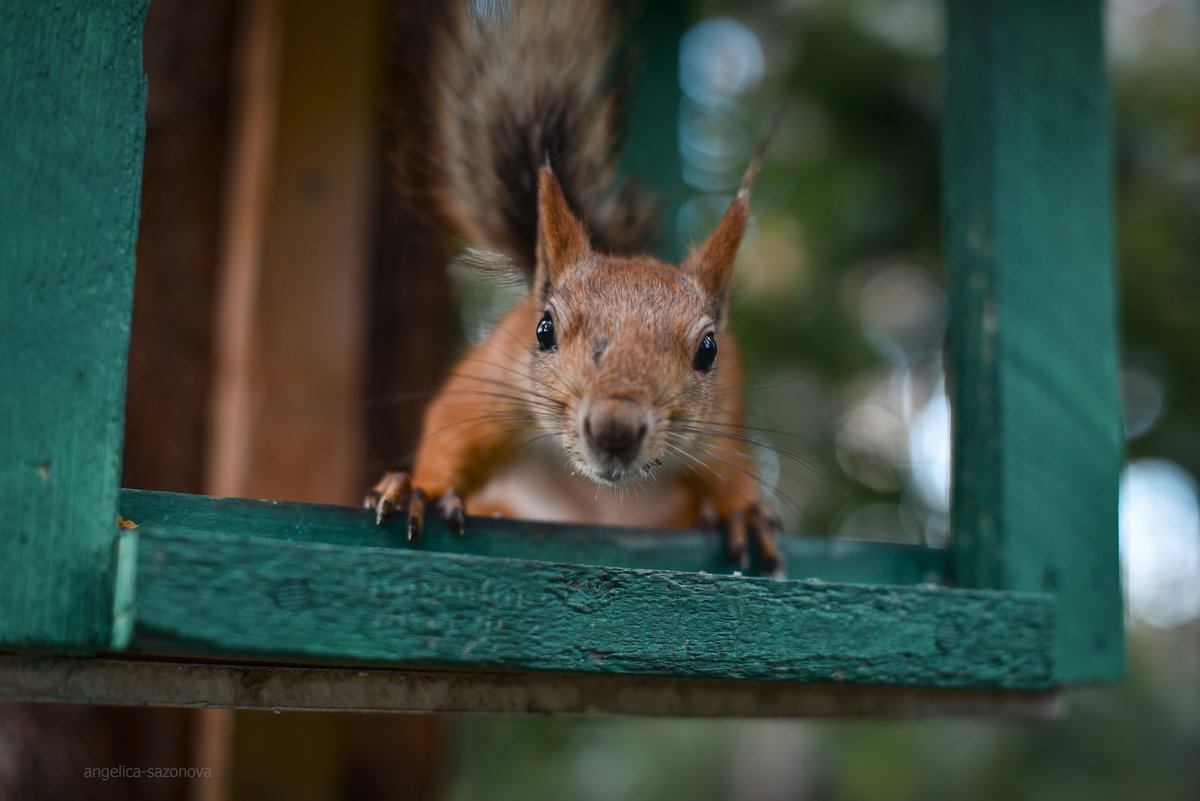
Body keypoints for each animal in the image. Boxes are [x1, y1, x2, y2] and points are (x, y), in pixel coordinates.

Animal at [364, 0, 782, 575]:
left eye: (708, 350)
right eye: (544, 330)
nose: (614, 429)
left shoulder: (721, 421)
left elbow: (729, 466)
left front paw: (741, 509)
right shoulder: (492, 381)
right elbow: (454, 431)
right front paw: (418, 489)